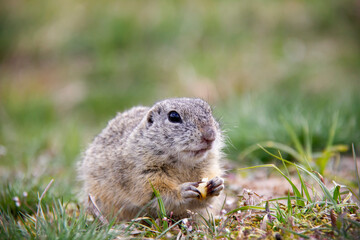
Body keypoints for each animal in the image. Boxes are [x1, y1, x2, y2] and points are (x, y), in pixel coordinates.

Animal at [78, 97, 225, 221]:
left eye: (209, 111)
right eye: (173, 116)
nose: (210, 135)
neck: (183, 164)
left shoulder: (209, 164)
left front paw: (217, 183)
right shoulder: (143, 173)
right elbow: (157, 193)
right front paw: (183, 191)